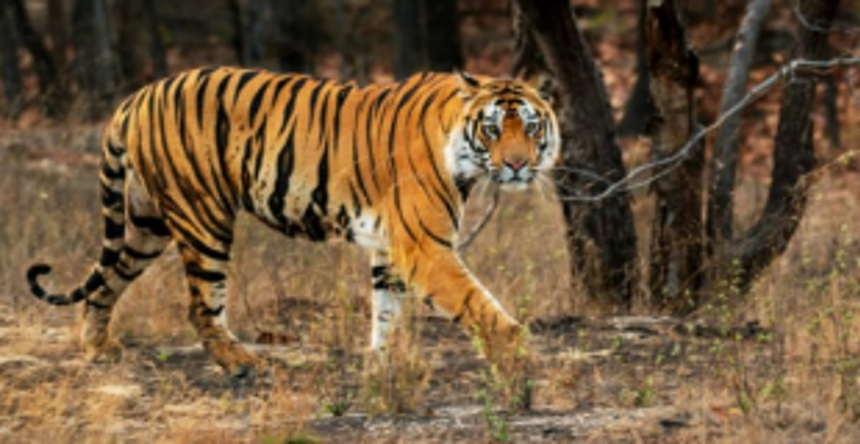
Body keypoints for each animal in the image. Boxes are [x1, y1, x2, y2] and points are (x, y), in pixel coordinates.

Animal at [26, 67, 560, 381]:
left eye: (531, 127)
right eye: (492, 129)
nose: (517, 165)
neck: (461, 151)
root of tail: (136, 96)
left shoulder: (391, 247)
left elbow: (386, 312)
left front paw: (380, 365)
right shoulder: (424, 247)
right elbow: (478, 304)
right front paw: (519, 355)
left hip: (144, 223)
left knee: (104, 284)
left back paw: (98, 349)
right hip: (203, 218)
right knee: (200, 308)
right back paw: (243, 364)